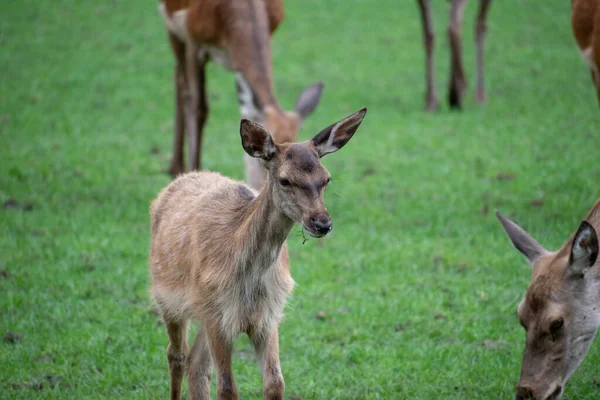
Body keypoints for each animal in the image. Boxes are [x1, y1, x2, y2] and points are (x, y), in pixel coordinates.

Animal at [149, 108, 366, 398]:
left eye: (326, 178)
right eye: (285, 180)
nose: (322, 223)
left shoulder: (268, 315)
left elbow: (275, 382)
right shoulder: (216, 314)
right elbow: (227, 388)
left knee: (196, 364)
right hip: (167, 297)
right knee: (177, 355)